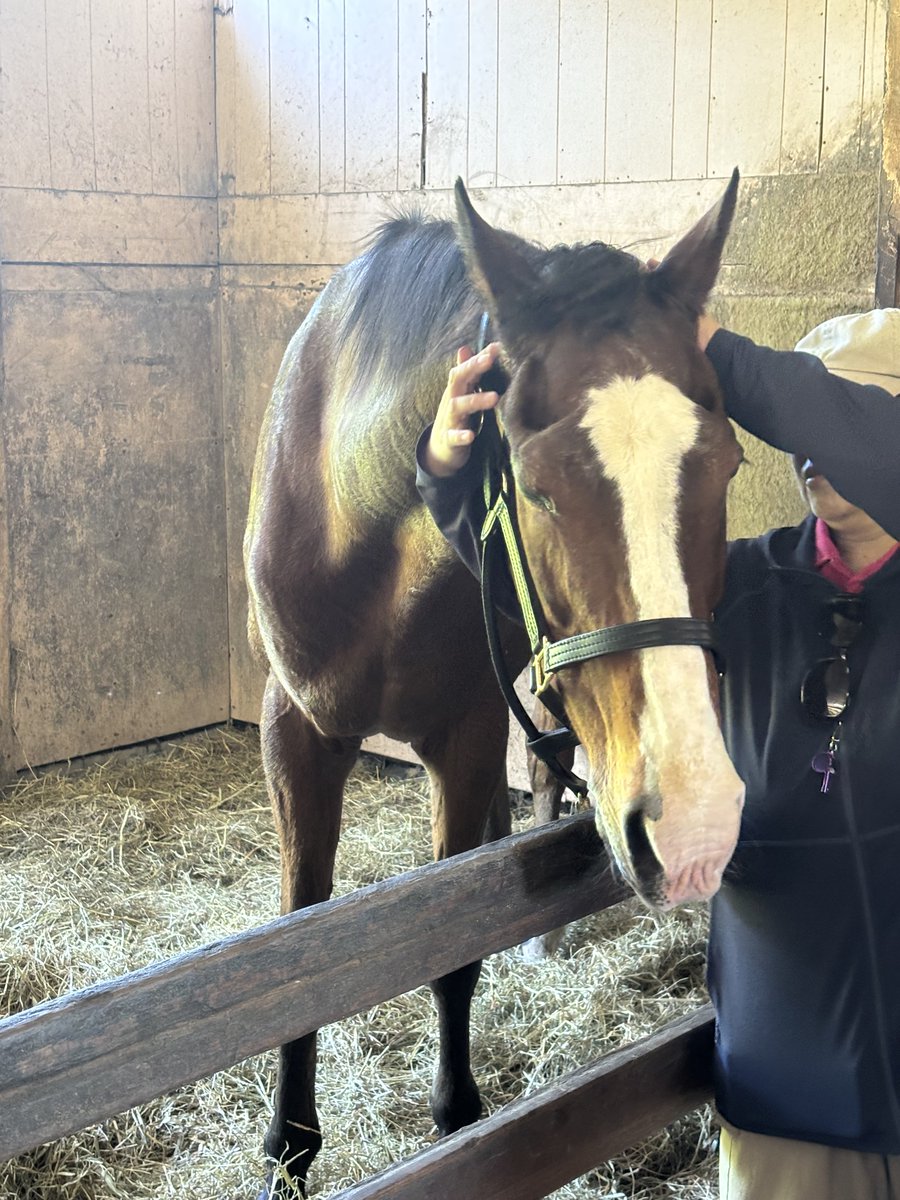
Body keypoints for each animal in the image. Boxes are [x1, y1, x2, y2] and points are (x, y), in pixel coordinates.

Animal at [243, 173, 745, 1197]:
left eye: (725, 465)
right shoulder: (295, 730)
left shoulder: (466, 735)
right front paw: (288, 1149)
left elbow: (451, 942)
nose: (696, 831)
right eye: (537, 483)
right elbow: (301, 941)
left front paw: (457, 1121)